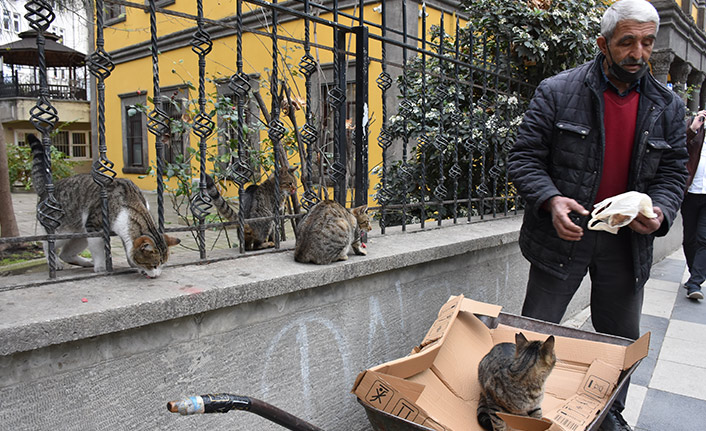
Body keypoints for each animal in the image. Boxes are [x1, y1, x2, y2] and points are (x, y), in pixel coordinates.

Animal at [29, 133, 179, 278]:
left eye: (162, 264)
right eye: (154, 265)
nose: (157, 275)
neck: (131, 204)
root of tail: (45, 191)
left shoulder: (122, 230)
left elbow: (128, 248)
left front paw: (134, 265)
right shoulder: (94, 227)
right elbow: (98, 250)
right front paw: (101, 267)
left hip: (80, 236)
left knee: (65, 254)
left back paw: (85, 262)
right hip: (61, 232)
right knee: (47, 245)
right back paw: (55, 263)